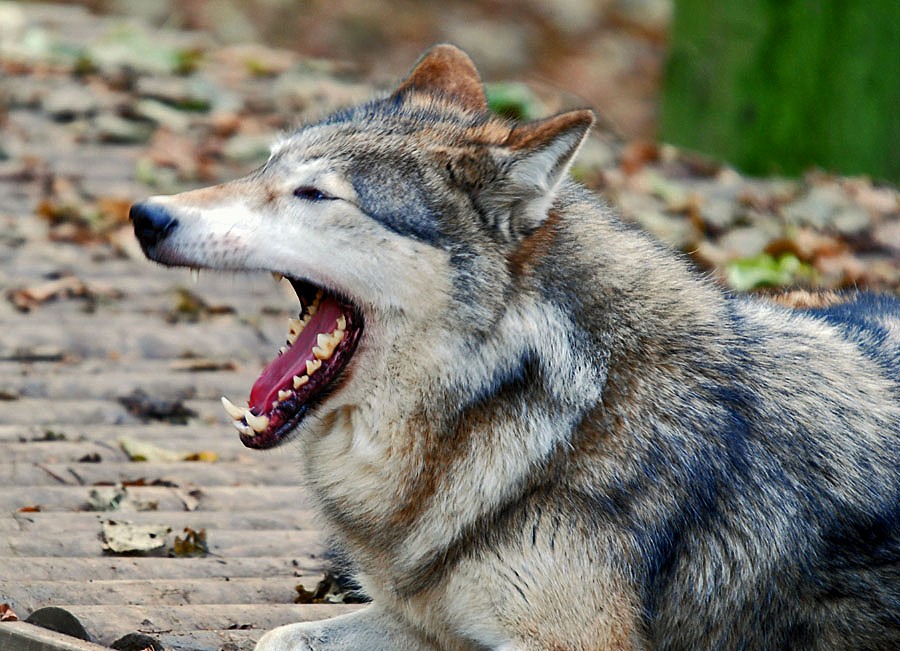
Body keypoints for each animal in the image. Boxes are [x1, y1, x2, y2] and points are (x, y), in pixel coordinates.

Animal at [130, 45, 900, 650]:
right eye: (262, 170)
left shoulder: (563, 641)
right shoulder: (428, 624)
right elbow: (277, 637)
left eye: (314, 194)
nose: (146, 214)